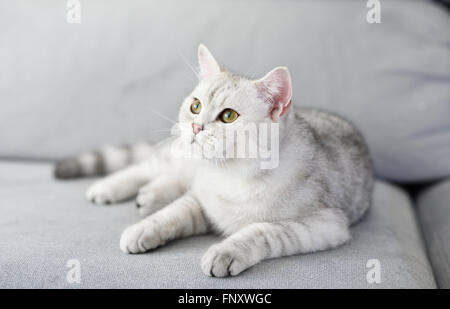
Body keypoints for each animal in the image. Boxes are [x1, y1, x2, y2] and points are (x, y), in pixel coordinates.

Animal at [54, 44, 374, 276]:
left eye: (228, 116)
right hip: (177, 157)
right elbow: (173, 213)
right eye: (195, 106)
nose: (197, 126)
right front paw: (144, 229)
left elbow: (263, 231)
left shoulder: (325, 224)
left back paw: (150, 195)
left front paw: (225, 251)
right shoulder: (201, 198)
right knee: (149, 167)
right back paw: (109, 189)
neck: (231, 175)